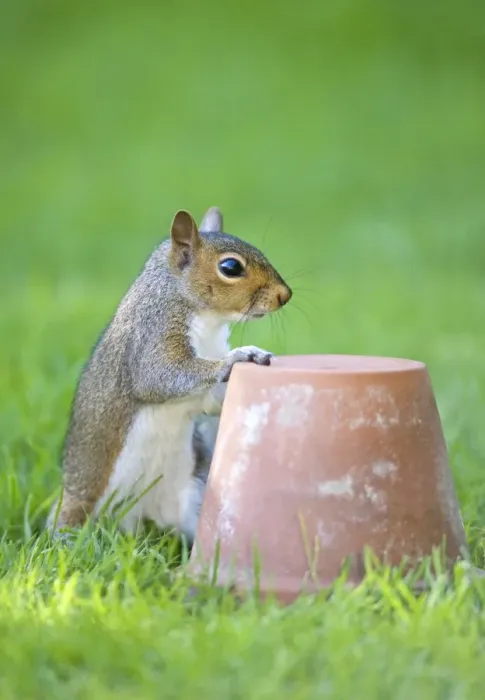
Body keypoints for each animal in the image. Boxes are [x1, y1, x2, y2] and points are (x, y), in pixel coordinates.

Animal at [47, 206, 292, 544]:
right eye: (230, 267)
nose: (285, 295)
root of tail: (141, 517)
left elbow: (210, 401)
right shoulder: (151, 336)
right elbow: (159, 376)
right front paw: (237, 357)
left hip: (190, 500)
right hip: (79, 507)